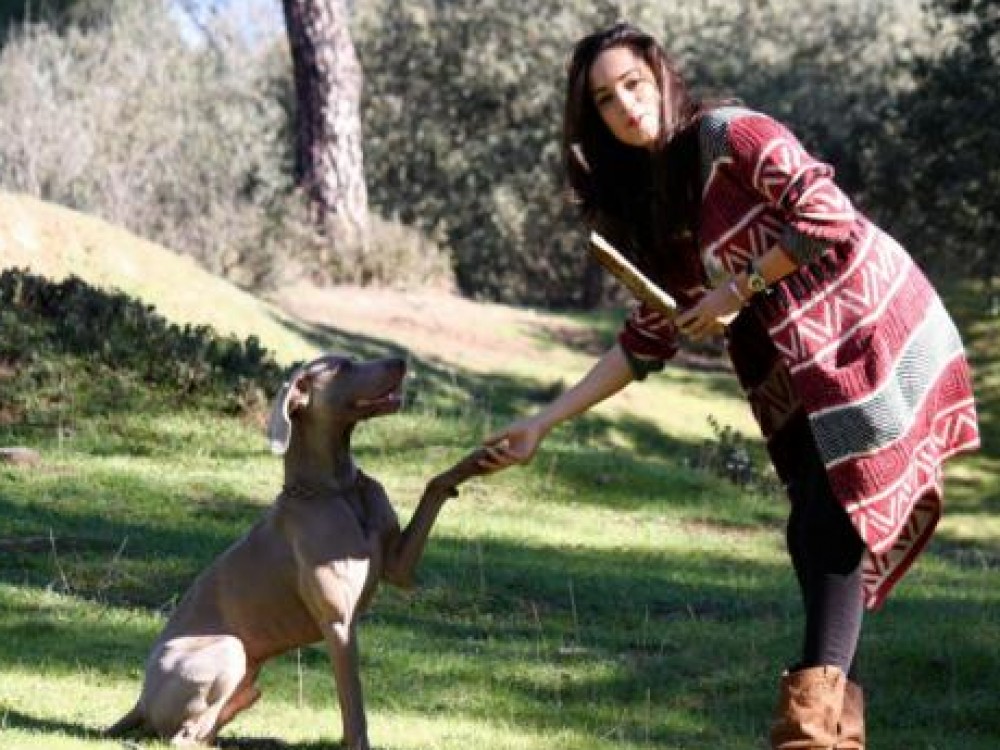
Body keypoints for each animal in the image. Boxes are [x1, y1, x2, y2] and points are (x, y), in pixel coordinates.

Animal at [106, 353, 488, 748]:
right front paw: (357, 741)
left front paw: (483, 457)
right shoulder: (339, 623)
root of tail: (139, 702)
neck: (336, 490)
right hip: (228, 649)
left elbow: (435, 485)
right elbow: (353, 701)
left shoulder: (399, 565)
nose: (400, 359)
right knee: (180, 735)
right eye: (344, 366)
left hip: (248, 682)